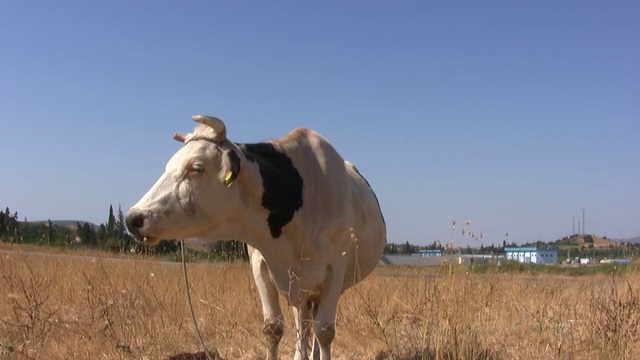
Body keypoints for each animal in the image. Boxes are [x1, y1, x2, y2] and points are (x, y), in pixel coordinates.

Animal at [125, 115, 384, 360]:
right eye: (168, 167)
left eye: (196, 167)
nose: (133, 218)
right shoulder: (261, 265)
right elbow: (273, 327)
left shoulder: (335, 270)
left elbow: (325, 331)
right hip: (301, 291)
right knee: (302, 324)